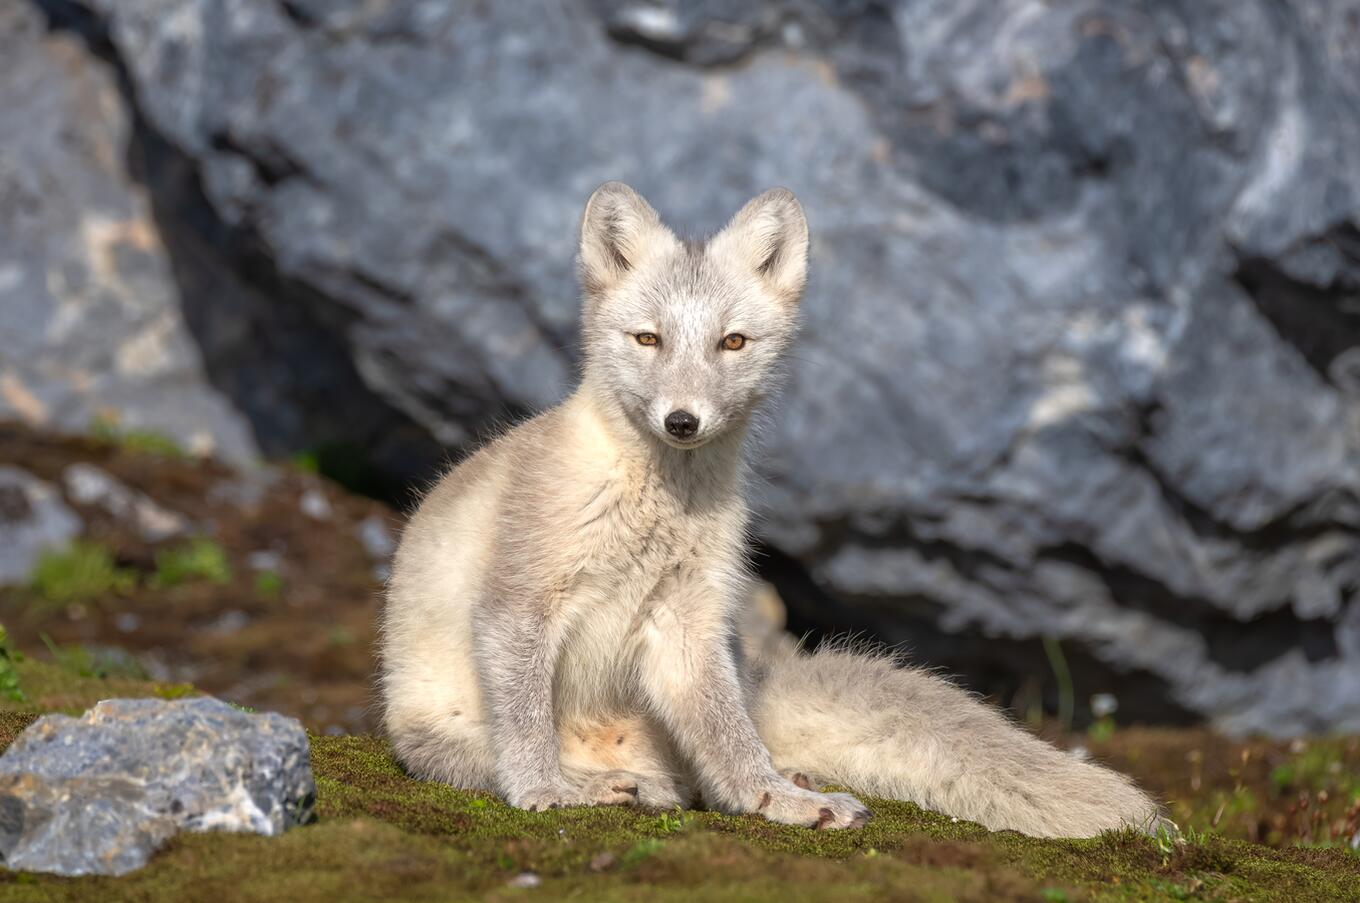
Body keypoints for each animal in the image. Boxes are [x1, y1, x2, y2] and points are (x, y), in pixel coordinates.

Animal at [380, 183, 1158, 837]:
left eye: (732, 341)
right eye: (648, 338)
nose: (682, 420)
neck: (656, 505)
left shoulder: (689, 619)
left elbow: (732, 743)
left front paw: (773, 799)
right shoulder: (519, 601)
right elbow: (524, 726)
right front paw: (544, 791)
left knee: (708, 767)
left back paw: (759, 782)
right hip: (433, 733)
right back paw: (598, 784)